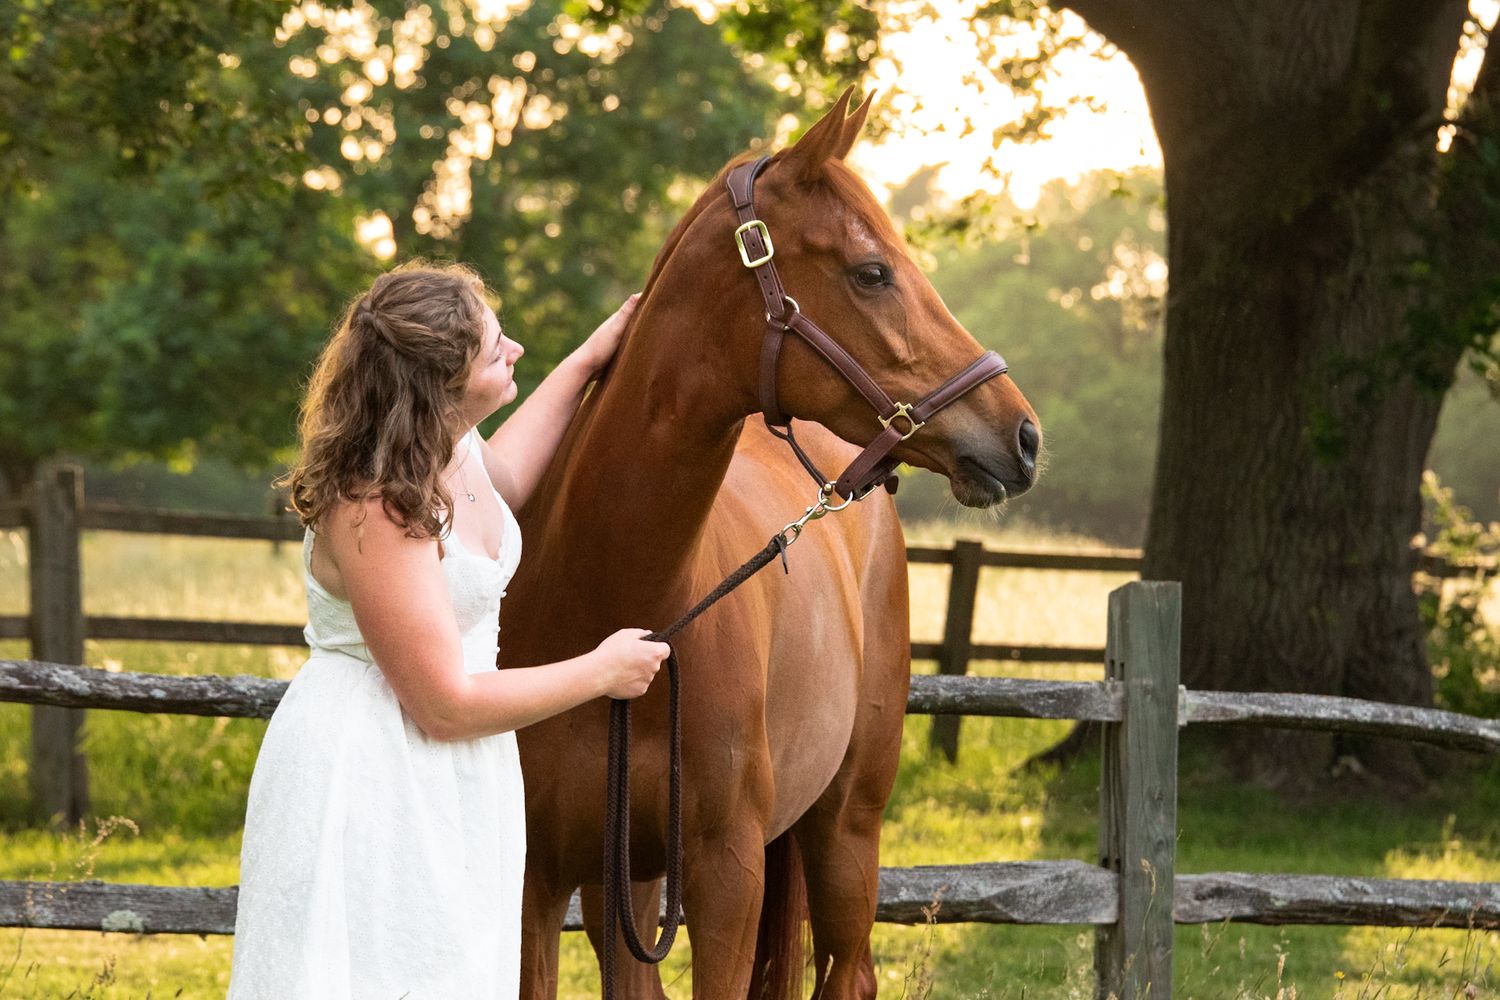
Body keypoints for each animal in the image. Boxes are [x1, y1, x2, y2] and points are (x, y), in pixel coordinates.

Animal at [497, 88, 1040, 999]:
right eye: (872, 272)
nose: (1024, 436)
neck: (605, 602)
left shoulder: (729, 876)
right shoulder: (540, 879)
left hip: (846, 831)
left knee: (850, 970)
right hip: (630, 888)